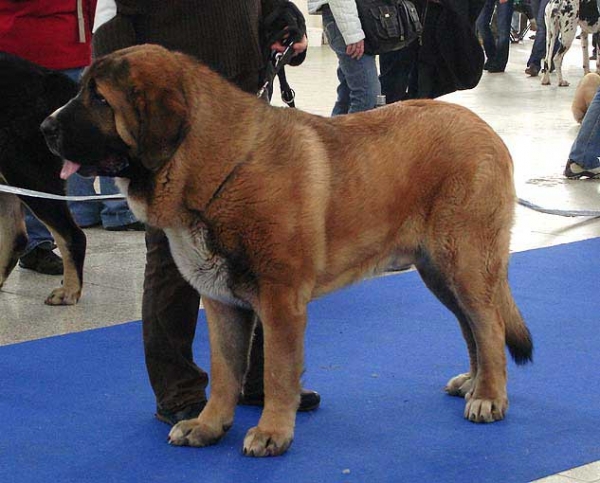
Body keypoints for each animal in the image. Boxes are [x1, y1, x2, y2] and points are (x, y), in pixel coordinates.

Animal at [42, 44, 536, 458]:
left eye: (99, 99)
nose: (45, 127)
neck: (219, 168)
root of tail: (486, 129)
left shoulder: (280, 302)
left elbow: (277, 371)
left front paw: (272, 432)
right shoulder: (221, 303)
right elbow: (224, 371)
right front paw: (207, 425)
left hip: (465, 262)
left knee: (489, 325)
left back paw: (489, 397)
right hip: (439, 272)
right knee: (472, 327)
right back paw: (474, 383)